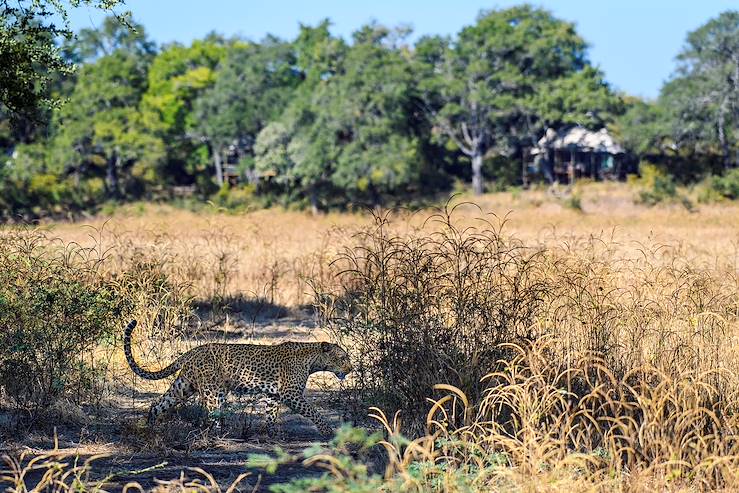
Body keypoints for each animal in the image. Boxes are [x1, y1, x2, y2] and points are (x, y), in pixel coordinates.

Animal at [122, 320, 352, 434]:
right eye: (342, 357)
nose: (350, 369)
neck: (313, 360)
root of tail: (192, 351)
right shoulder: (291, 394)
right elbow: (313, 411)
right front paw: (327, 430)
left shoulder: (275, 395)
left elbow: (271, 414)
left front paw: (271, 433)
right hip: (213, 391)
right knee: (212, 415)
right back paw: (219, 435)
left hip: (183, 386)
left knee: (159, 404)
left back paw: (150, 427)